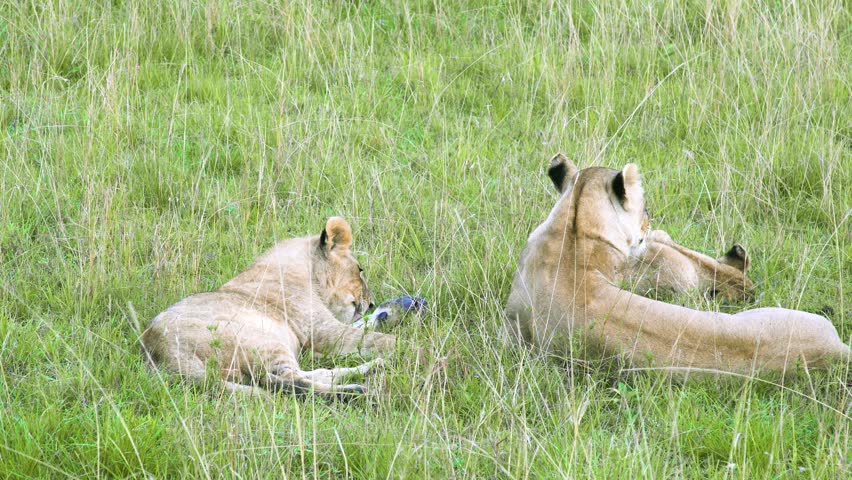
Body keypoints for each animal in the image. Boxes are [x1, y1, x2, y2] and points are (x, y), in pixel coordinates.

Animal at [141, 217, 395, 397]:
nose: (371, 302)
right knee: (284, 383)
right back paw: (360, 392)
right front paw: (406, 351)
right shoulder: (322, 331)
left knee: (312, 374)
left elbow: (366, 330)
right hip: (264, 340)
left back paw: (371, 368)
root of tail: (160, 353)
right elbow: (383, 340)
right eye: (360, 269)